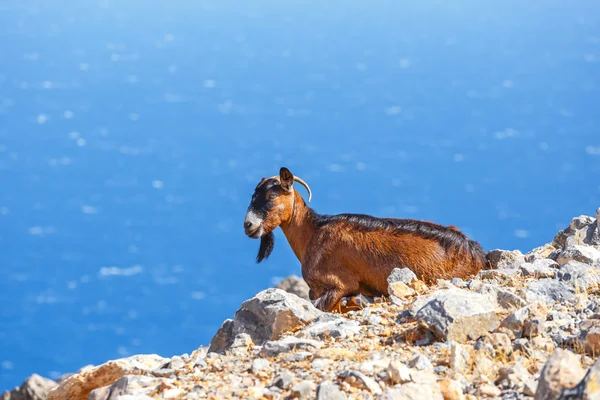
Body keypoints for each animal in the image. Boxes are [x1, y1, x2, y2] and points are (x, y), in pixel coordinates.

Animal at [244, 166, 488, 312]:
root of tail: (476, 253)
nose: (248, 225)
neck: (314, 233)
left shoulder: (337, 284)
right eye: (253, 196)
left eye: (272, 195)